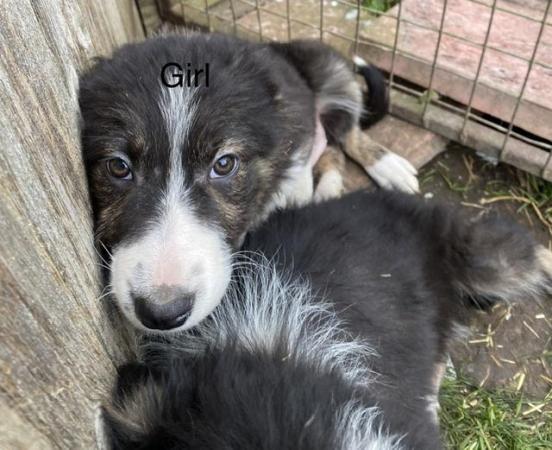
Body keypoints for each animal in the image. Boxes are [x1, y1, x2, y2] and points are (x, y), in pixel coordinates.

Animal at [80, 31, 418, 332]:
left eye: (224, 164)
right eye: (118, 166)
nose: (163, 312)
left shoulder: (297, 125)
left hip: (332, 69)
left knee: (348, 132)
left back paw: (389, 168)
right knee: (332, 146)